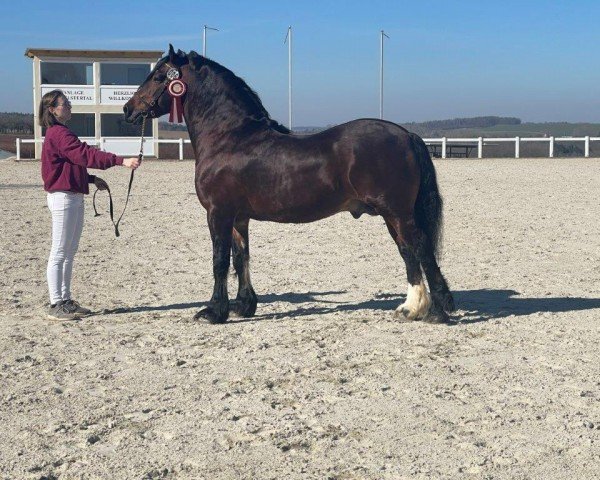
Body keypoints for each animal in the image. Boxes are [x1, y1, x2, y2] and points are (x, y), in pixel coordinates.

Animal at [125, 45, 454, 324]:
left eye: (158, 76)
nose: (129, 109)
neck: (230, 137)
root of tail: (406, 134)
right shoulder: (238, 217)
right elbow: (241, 257)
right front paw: (244, 306)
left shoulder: (218, 213)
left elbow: (219, 261)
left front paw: (214, 312)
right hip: (393, 214)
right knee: (411, 251)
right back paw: (424, 309)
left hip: (397, 212)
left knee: (419, 249)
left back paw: (426, 310)